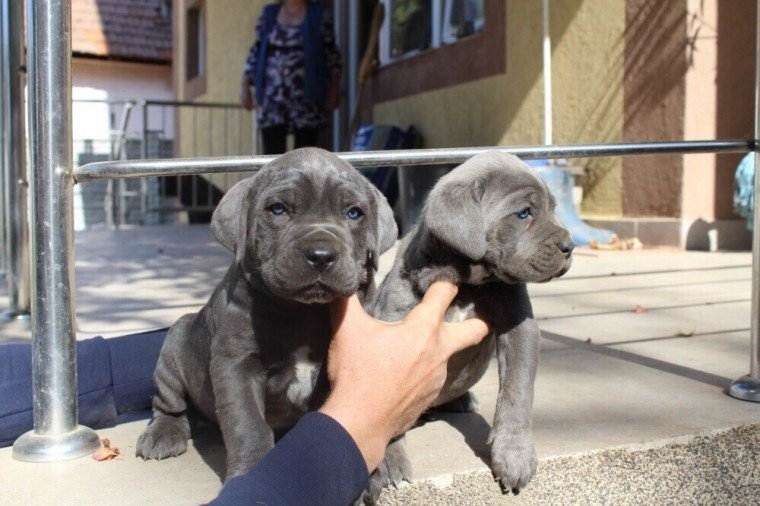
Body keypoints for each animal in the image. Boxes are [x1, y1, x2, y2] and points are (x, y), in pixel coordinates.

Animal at [136, 147, 398, 482]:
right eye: (278, 209)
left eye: (354, 213)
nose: (321, 255)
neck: (304, 311)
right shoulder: (237, 364)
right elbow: (248, 424)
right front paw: (250, 472)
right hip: (175, 346)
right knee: (168, 404)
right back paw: (163, 434)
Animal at [366, 151, 572, 502]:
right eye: (523, 213)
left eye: (553, 208)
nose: (570, 246)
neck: (467, 282)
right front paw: (389, 461)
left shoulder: (520, 329)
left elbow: (516, 393)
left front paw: (514, 455)